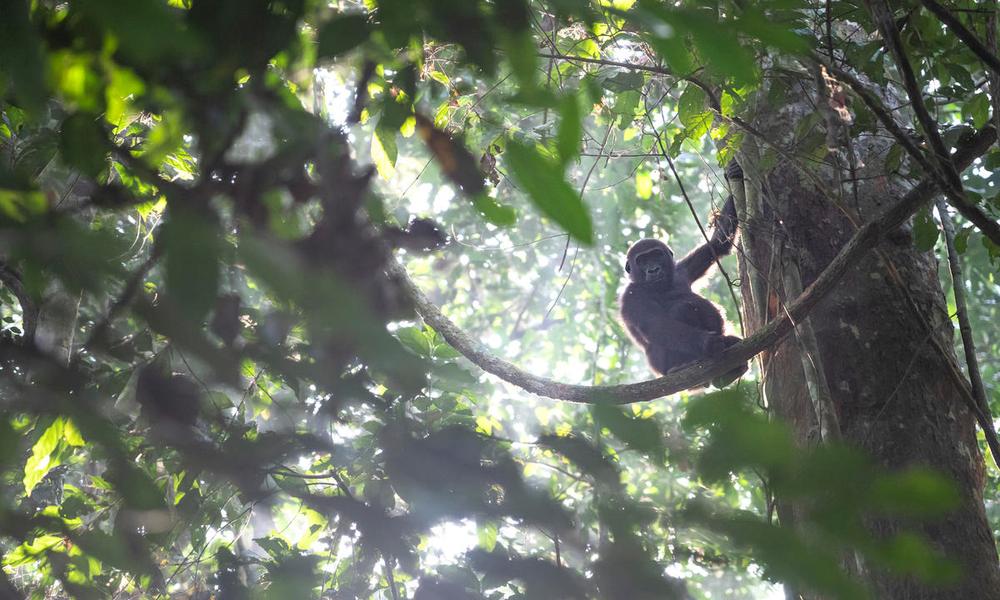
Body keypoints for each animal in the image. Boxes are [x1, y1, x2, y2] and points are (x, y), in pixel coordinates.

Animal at [620, 161, 748, 384]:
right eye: (642, 261)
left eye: (656, 255)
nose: (653, 269)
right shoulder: (631, 297)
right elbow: (658, 325)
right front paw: (708, 343)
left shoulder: (681, 269)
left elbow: (718, 244)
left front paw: (733, 172)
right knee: (681, 309)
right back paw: (683, 366)